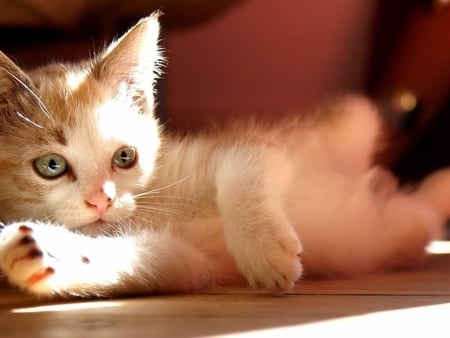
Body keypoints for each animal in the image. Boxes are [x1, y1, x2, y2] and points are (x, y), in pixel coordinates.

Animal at [0, 12, 450, 298]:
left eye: (125, 156)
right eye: (51, 166)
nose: (102, 200)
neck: (157, 201)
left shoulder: (248, 146)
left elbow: (244, 162)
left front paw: (263, 249)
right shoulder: (183, 260)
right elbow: (150, 259)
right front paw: (38, 249)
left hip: (352, 119)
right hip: (400, 226)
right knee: (420, 213)